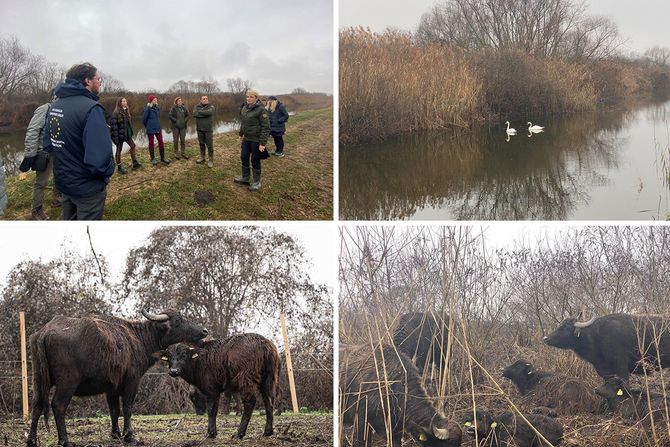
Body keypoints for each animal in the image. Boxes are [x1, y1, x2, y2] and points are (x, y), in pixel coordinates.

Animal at [27, 310, 209, 447]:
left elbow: (114, 410)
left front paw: (115, 434)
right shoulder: (132, 380)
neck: (138, 338)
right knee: (58, 405)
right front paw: (129, 435)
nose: (204, 331)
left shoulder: (111, 387)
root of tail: (44, 332)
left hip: (39, 379)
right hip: (67, 382)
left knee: (36, 405)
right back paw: (65, 440)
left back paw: (31, 440)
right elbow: (127, 407)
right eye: (178, 320)